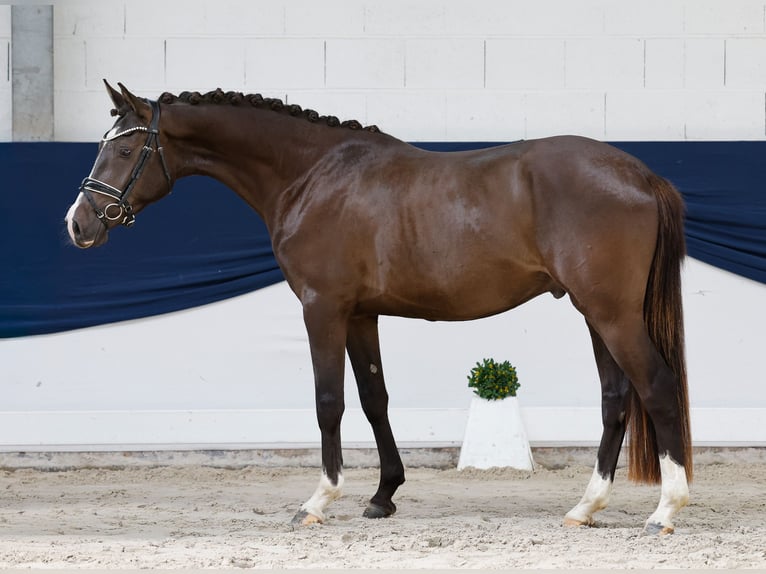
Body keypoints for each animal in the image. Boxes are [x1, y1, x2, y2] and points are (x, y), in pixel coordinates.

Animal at [65, 81, 692, 534]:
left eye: (124, 148)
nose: (78, 224)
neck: (312, 176)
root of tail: (640, 174)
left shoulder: (322, 309)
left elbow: (329, 403)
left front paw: (318, 500)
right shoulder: (361, 315)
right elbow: (374, 399)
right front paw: (383, 495)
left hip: (611, 313)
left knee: (657, 387)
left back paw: (664, 510)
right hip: (595, 314)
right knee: (615, 400)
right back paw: (586, 507)